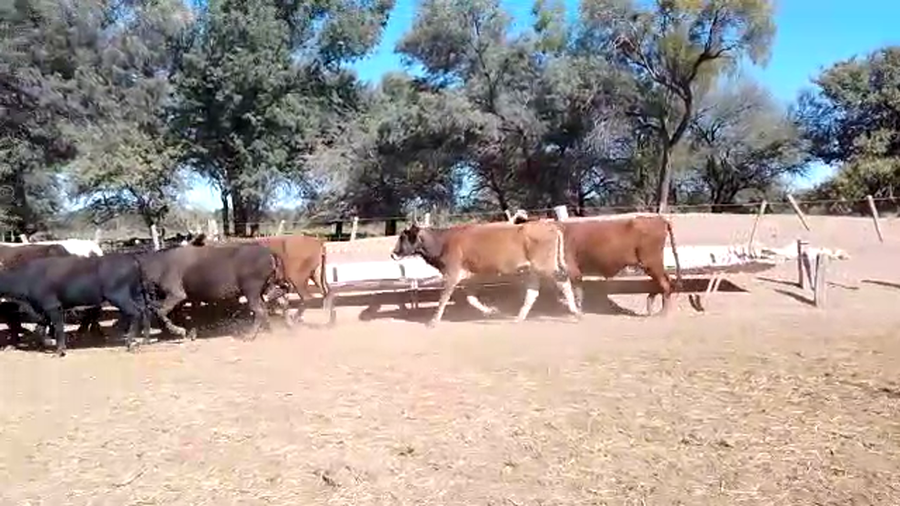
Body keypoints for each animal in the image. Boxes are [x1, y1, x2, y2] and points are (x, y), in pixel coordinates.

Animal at [0, 253, 151, 356]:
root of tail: (132, 260)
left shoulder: (53, 306)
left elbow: (58, 328)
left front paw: (60, 350)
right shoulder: (43, 310)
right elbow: (40, 329)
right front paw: (42, 346)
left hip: (119, 296)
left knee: (135, 313)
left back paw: (130, 343)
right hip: (137, 294)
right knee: (145, 311)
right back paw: (145, 340)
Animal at [137, 241, 287, 340]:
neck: (160, 264)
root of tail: (270, 252)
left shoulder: (176, 294)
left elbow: (161, 312)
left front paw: (179, 331)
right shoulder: (191, 298)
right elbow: (191, 315)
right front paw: (191, 333)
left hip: (251, 290)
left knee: (260, 310)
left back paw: (250, 335)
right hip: (266, 287)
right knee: (278, 301)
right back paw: (275, 328)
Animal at [390, 221, 583, 327]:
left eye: (403, 237)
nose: (393, 254)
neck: (444, 241)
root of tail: (550, 226)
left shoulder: (452, 274)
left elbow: (443, 298)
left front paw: (433, 321)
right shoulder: (469, 277)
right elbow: (471, 298)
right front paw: (491, 311)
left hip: (545, 266)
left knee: (563, 282)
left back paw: (575, 311)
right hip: (533, 271)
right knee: (532, 293)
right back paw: (518, 318)